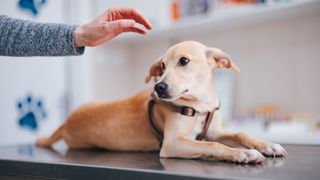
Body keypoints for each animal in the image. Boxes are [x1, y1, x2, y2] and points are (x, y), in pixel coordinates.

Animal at [37, 41, 288, 164]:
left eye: (184, 61)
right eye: (163, 66)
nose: (158, 87)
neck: (200, 106)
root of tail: (65, 123)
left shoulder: (214, 131)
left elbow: (240, 134)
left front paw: (267, 145)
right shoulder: (172, 143)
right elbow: (212, 146)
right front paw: (243, 154)